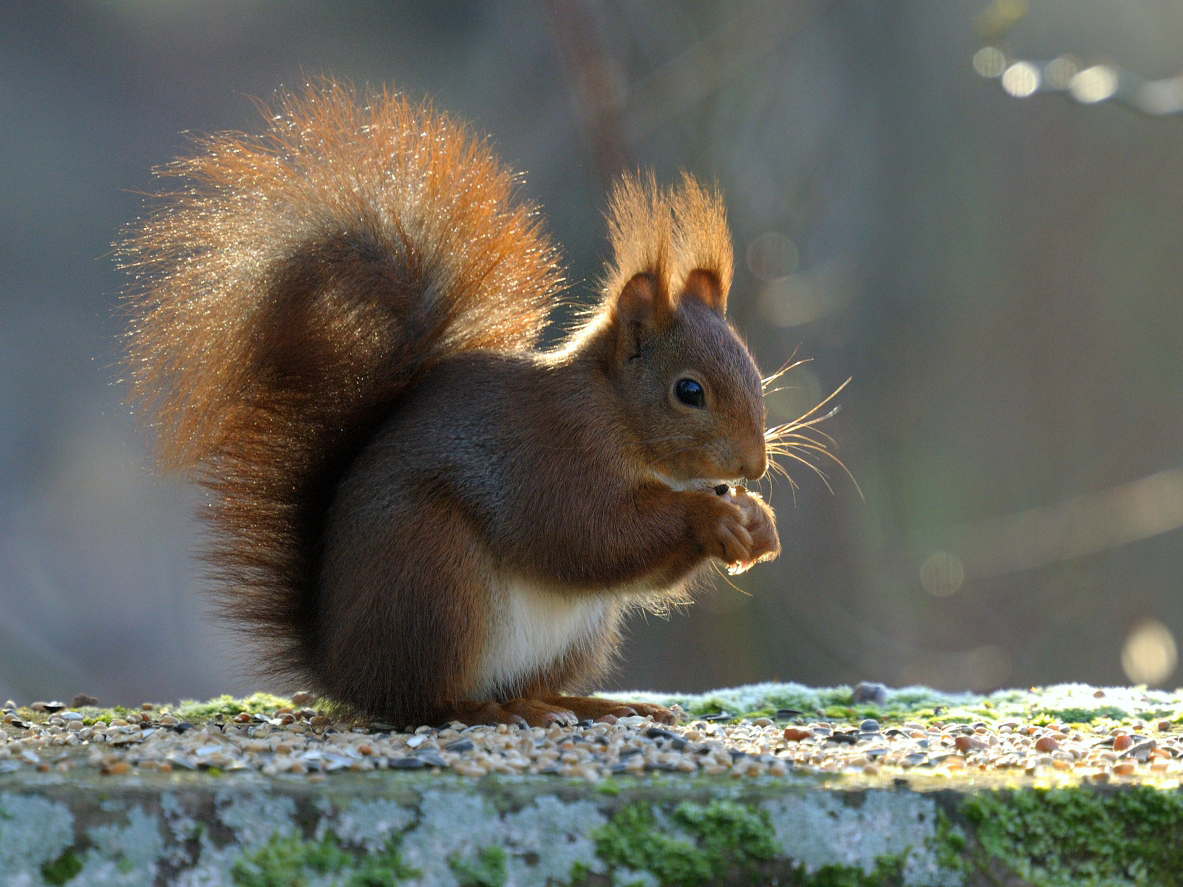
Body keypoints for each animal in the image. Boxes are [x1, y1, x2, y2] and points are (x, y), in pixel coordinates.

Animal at [124, 81, 780, 728]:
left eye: (754, 372)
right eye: (688, 391)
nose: (753, 466)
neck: (616, 412)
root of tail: (342, 668)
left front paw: (758, 523)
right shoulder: (550, 451)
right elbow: (587, 534)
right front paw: (713, 518)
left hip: (577, 633)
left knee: (529, 684)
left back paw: (580, 703)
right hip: (436, 578)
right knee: (424, 700)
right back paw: (487, 710)